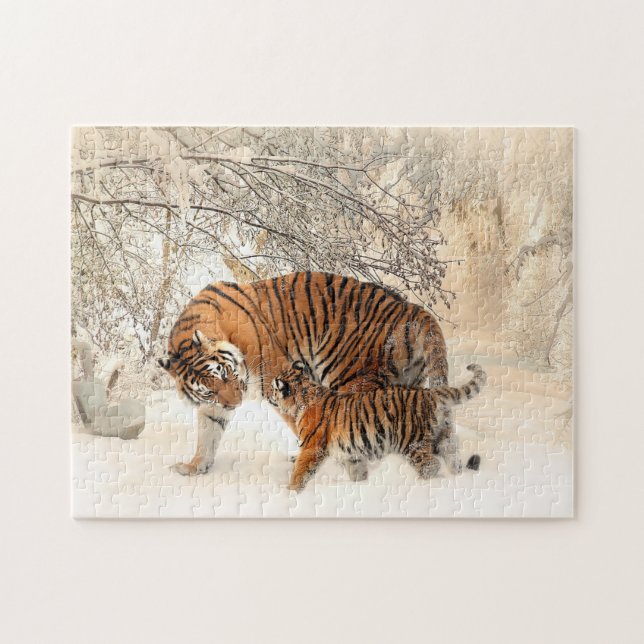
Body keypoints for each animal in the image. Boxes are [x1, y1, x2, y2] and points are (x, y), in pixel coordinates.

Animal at [159, 272, 449, 475]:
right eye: (209, 390)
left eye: (226, 374)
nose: (236, 404)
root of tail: (412, 309)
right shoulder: (213, 406)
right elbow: (207, 434)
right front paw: (195, 467)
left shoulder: (278, 379)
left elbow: (303, 423)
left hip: (351, 378)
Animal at [269, 361, 487, 491]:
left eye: (273, 388)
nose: (268, 395)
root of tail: (430, 393)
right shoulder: (351, 454)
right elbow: (357, 471)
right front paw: (360, 485)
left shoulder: (311, 447)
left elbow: (300, 472)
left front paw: (291, 492)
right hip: (443, 437)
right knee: (454, 461)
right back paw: (457, 479)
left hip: (412, 443)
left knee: (430, 466)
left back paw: (421, 485)